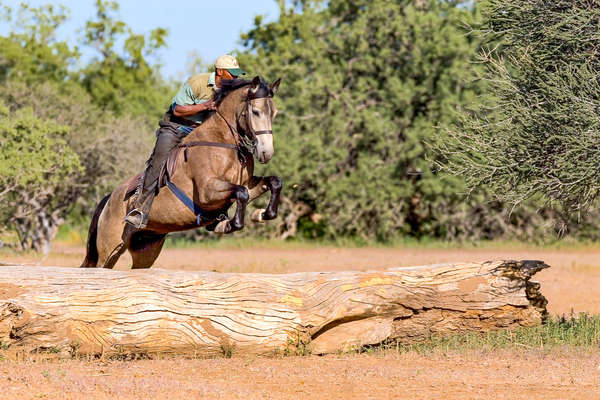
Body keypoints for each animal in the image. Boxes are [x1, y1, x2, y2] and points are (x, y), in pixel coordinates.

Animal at [80, 75, 284, 268]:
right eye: (256, 112)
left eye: (274, 113)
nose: (266, 153)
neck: (225, 143)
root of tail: (108, 199)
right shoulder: (207, 192)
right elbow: (241, 194)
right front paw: (228, 224)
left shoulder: (245, 184)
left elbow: (273, 182)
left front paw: (262, 214)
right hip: (111, 247)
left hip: (147, 248)